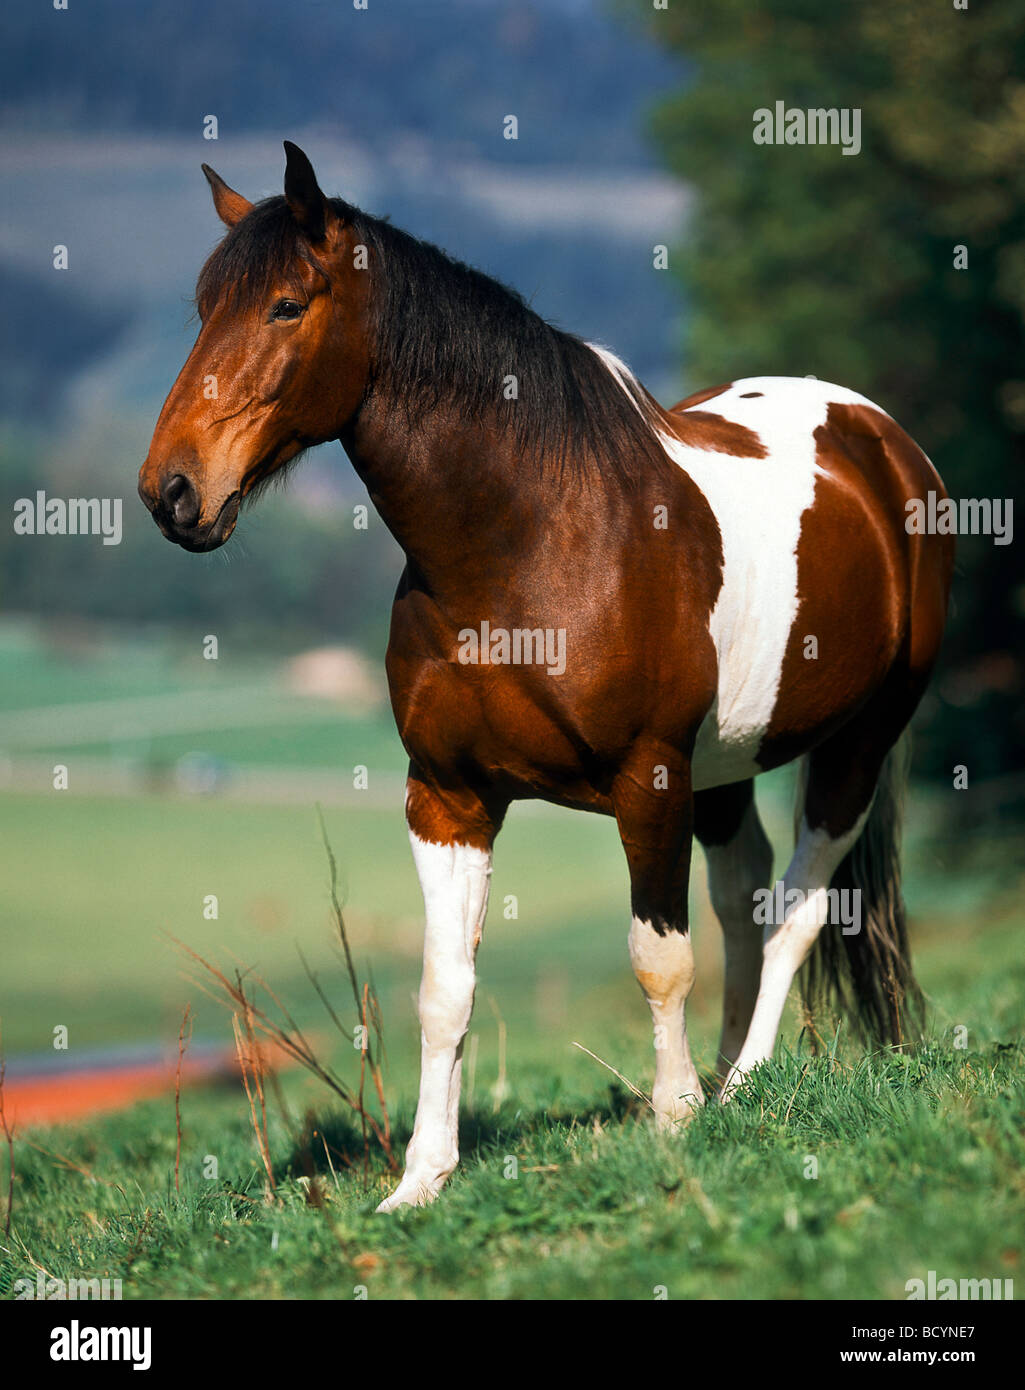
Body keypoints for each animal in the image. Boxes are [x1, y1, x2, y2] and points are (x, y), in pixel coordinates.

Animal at [139, 143, 954, 1211]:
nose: (171, 491)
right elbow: (444, 990)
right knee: (743, 895)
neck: (531, 541)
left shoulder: (648, 782)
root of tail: (885, 442)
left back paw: (744, 1082)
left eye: (284, 305)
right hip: (724, 768)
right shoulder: (448, 797)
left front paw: (672, 1126)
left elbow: (658, 960)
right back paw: (726, 1079)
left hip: (857, 744)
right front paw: (421, 1180)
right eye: (199, 308)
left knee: (798, 908)